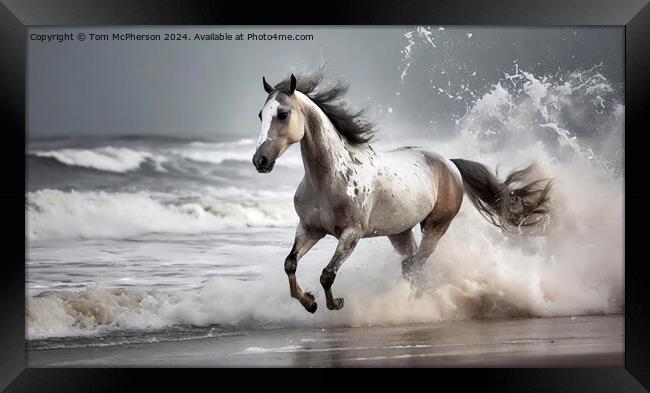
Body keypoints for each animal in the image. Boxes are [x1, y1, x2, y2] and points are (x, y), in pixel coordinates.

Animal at [251, 71, 548, 312]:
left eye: (283, 114)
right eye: (261, 115)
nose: (260, 161)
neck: (328, 179)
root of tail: (449, 163)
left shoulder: (351, 234)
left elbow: (327, 274)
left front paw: (335, 304)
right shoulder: (310, 229)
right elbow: (290, 264)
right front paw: (309, 302)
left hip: (436, 227)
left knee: (414, 265)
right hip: (400, 232)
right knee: (411, 266)